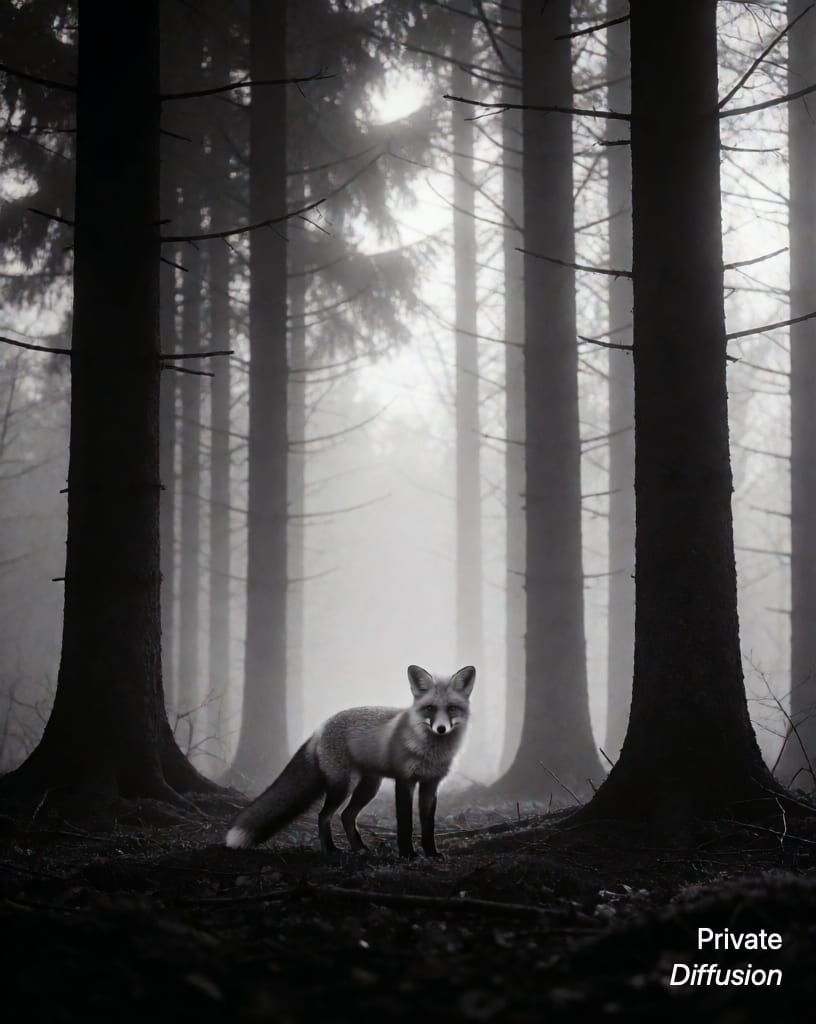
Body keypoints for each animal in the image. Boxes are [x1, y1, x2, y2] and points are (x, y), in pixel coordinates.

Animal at [225, 664, 475, 858]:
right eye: (430, 708)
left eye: (452, 708)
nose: (441, 729)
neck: (431, 751)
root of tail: (320, 728)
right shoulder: (405, 782)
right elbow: (405, 824)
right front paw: (408, 855)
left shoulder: (430, 785)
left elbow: (428, 825)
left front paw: (431, 853)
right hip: (343, 785)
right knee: (324, 816)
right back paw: (330, 849)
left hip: (369, 787)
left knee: (346, 816)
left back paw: (359, 848)